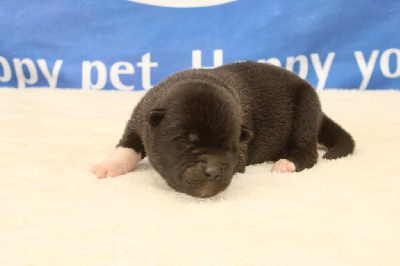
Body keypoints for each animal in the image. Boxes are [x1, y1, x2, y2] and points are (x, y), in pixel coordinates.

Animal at [92, 60, 354, 197]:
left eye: (230, 145)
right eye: (185, 141)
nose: (212, 172)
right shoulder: (139, 120)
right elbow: (126, 147)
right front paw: (108, 166)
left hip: (306, 108)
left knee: (307, 151)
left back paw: (286, 163)